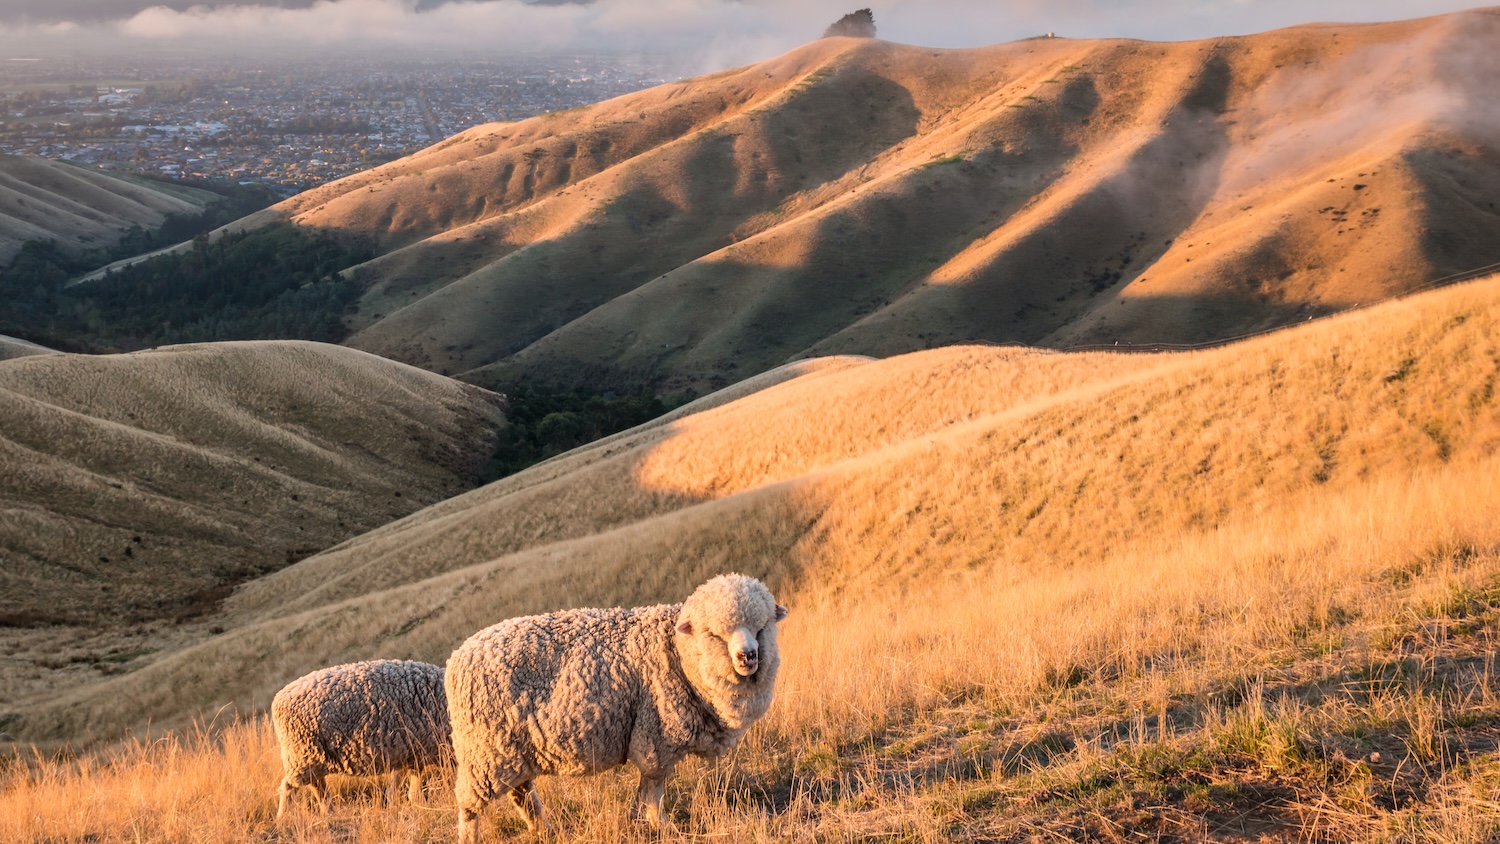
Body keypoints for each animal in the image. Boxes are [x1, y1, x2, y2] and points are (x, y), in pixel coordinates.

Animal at [271, 659, 452, 818]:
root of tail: (279, 698)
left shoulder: (410, 753)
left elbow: (403, 784)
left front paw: (402, 803)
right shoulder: (419, 751)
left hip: (313, 756)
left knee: (318, 786)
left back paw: (328, 811)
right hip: (300, 755)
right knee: (288, 787)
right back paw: (283, 817)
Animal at [446, 573, 787, 842]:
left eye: (761, 627)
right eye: (715, 634)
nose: (748, 656)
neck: (676, 652)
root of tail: (456, 657)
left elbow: (648, 788)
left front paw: (640, 818)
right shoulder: (656, 737)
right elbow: (654, 787)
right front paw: (660, 825)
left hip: (510, 750)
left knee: (521, 792)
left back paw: (545, 829)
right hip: (484, 754)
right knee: (470, 806)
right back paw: (473, 836)